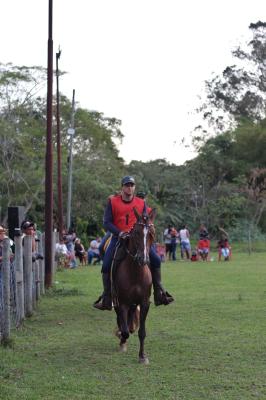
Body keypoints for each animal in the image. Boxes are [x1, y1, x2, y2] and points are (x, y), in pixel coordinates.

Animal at [112, 206, 156, 366]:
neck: (135, 273)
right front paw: (121, 339)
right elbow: (124, 330)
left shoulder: (144, 303)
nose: (143, 259)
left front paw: (142, 356)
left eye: (151, 233)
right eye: (136, 232)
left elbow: (141, 332)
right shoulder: (123, 302)